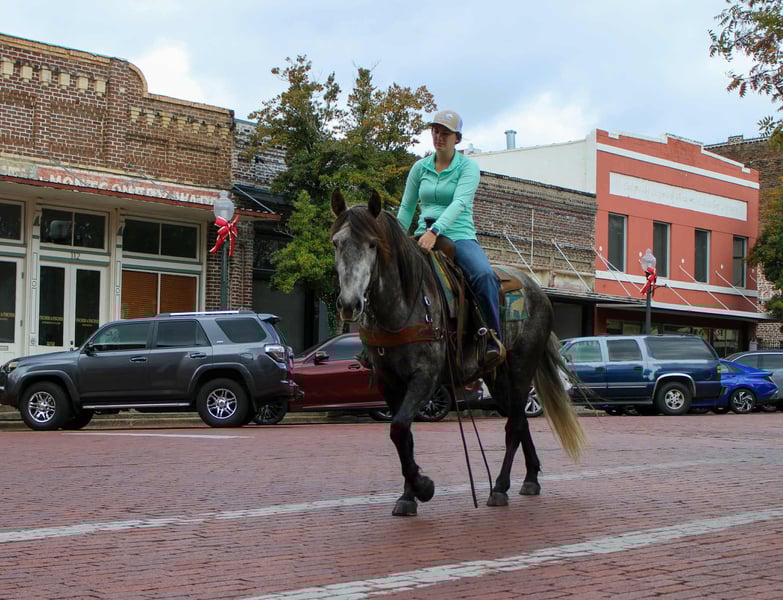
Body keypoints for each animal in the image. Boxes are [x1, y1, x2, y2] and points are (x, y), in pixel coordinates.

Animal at [330, 189, 585, 516]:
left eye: (373, 244)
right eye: (336, 243)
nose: (350, 304)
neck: (404, 304)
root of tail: (538, 291)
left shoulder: (425, 377)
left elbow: (399, 428)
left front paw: (423, 487)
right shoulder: (389, 382)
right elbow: (404, 435)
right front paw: (409, 496)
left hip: (521, 368)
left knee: (514, 425)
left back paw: (500, 488)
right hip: (498, 379)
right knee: (521, 421)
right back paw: (530, 478)